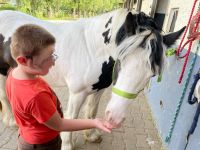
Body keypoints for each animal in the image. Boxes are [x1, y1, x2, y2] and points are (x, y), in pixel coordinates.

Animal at [0, 8, 184, 149]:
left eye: (152, 73)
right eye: (121, 60)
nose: (115, 118)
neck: (91, 49)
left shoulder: (99, 89)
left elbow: (91, 110)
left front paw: (91, 135)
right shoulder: (77, 94)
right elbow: (72, 118)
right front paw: (68, 144)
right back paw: (11, 121)